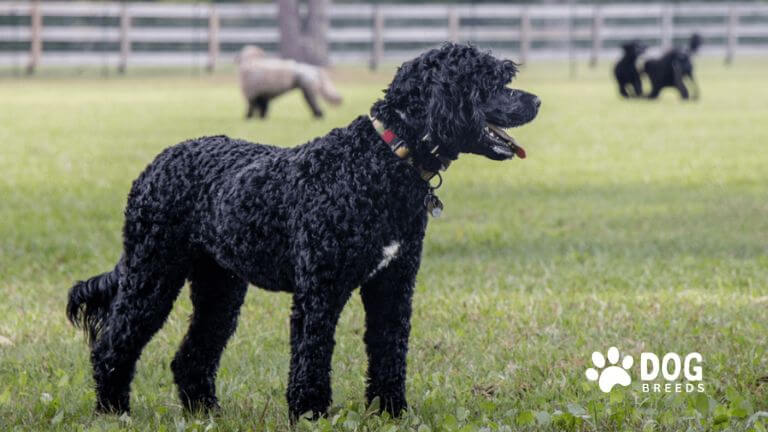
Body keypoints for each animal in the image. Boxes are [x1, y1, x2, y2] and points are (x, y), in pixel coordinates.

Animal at [70, 44, 540, 422]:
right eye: (493, 81)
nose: (536, 99)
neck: (381, 161)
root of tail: (156, 164)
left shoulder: (393, 285)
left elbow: (389, 350)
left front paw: (391, 412)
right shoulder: (320, 291)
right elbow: (312, 356)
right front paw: (311, 413)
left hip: (219, 287)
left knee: (192, 356)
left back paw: (206, 412)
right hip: (152, 273)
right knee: (113, 344)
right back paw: (113, 410)